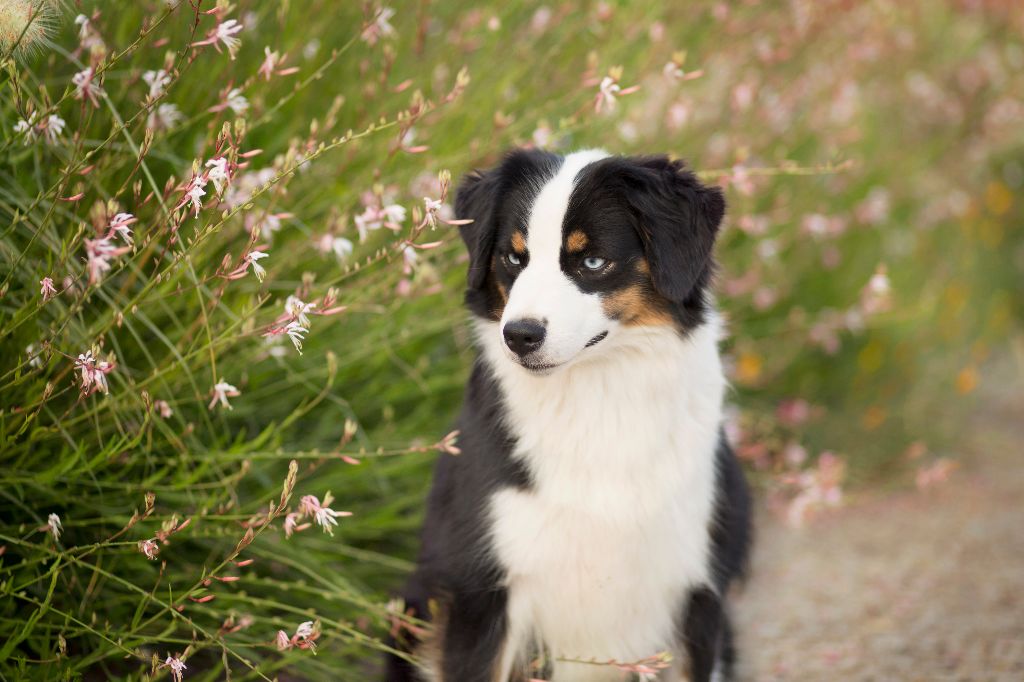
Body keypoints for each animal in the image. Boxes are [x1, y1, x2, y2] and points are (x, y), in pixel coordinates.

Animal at [385, 150, 753, 679]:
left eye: (592, 261)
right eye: (514, 258)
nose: (519, 335)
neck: (596, 402)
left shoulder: (694, 592)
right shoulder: (483, 592)